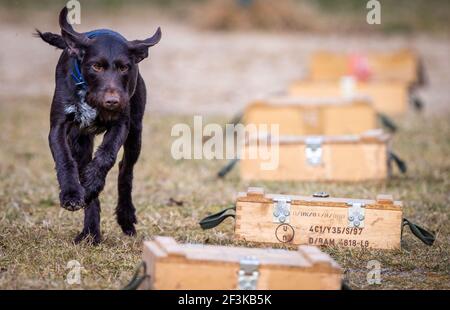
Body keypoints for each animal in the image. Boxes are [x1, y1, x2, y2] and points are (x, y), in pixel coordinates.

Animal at [37, 7, 161, 243]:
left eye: (124, 68)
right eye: (96, 66)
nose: (112, 101)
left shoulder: (121, 124)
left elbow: (107, 156)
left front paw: (93, 182)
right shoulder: (58, 128)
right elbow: (64, 159)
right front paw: (72, 193)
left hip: (136, 133)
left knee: (125, 170)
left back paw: (124, 216)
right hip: (80, 140)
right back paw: (90, 232)